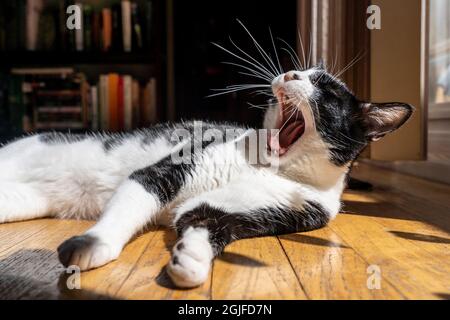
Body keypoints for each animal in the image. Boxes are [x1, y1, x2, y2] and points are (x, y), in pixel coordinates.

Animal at [0, 63, 412, 288]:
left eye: (326, 91)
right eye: (301, 71)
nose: (290, 73)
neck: (275, 168)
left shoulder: (269, 206)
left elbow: (204, 220)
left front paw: (192, 260)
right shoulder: (169, 169)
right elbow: (133, 200)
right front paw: (94, 244)